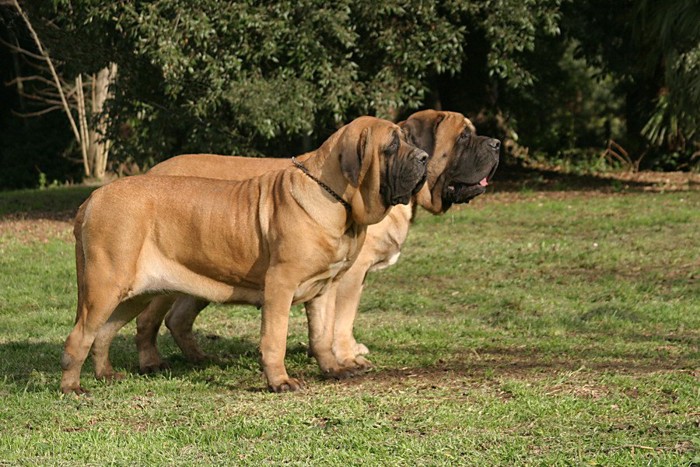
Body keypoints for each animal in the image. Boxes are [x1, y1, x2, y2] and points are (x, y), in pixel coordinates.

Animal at [63, 116, 430, 394]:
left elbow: (322, 335)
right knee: (80, 335)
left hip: (135, 292)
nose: (425, 157)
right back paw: (72, 387)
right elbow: (275, 338)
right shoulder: (280, 285)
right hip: (104, 287)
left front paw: (333, 369)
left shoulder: (324, 288)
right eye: (392, 145)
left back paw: (106, 374)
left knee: (104, 332)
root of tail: (91, 200)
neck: (336, 200)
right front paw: (280, 382)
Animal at [129, 109, 500, 376]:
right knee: (148, 319)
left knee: (178, 319)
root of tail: (151, 172)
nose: (496, 143)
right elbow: (343, 317)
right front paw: (347, 356)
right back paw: (152, 363)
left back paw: (200, 359)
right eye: (464, 136)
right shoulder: (352, 274)